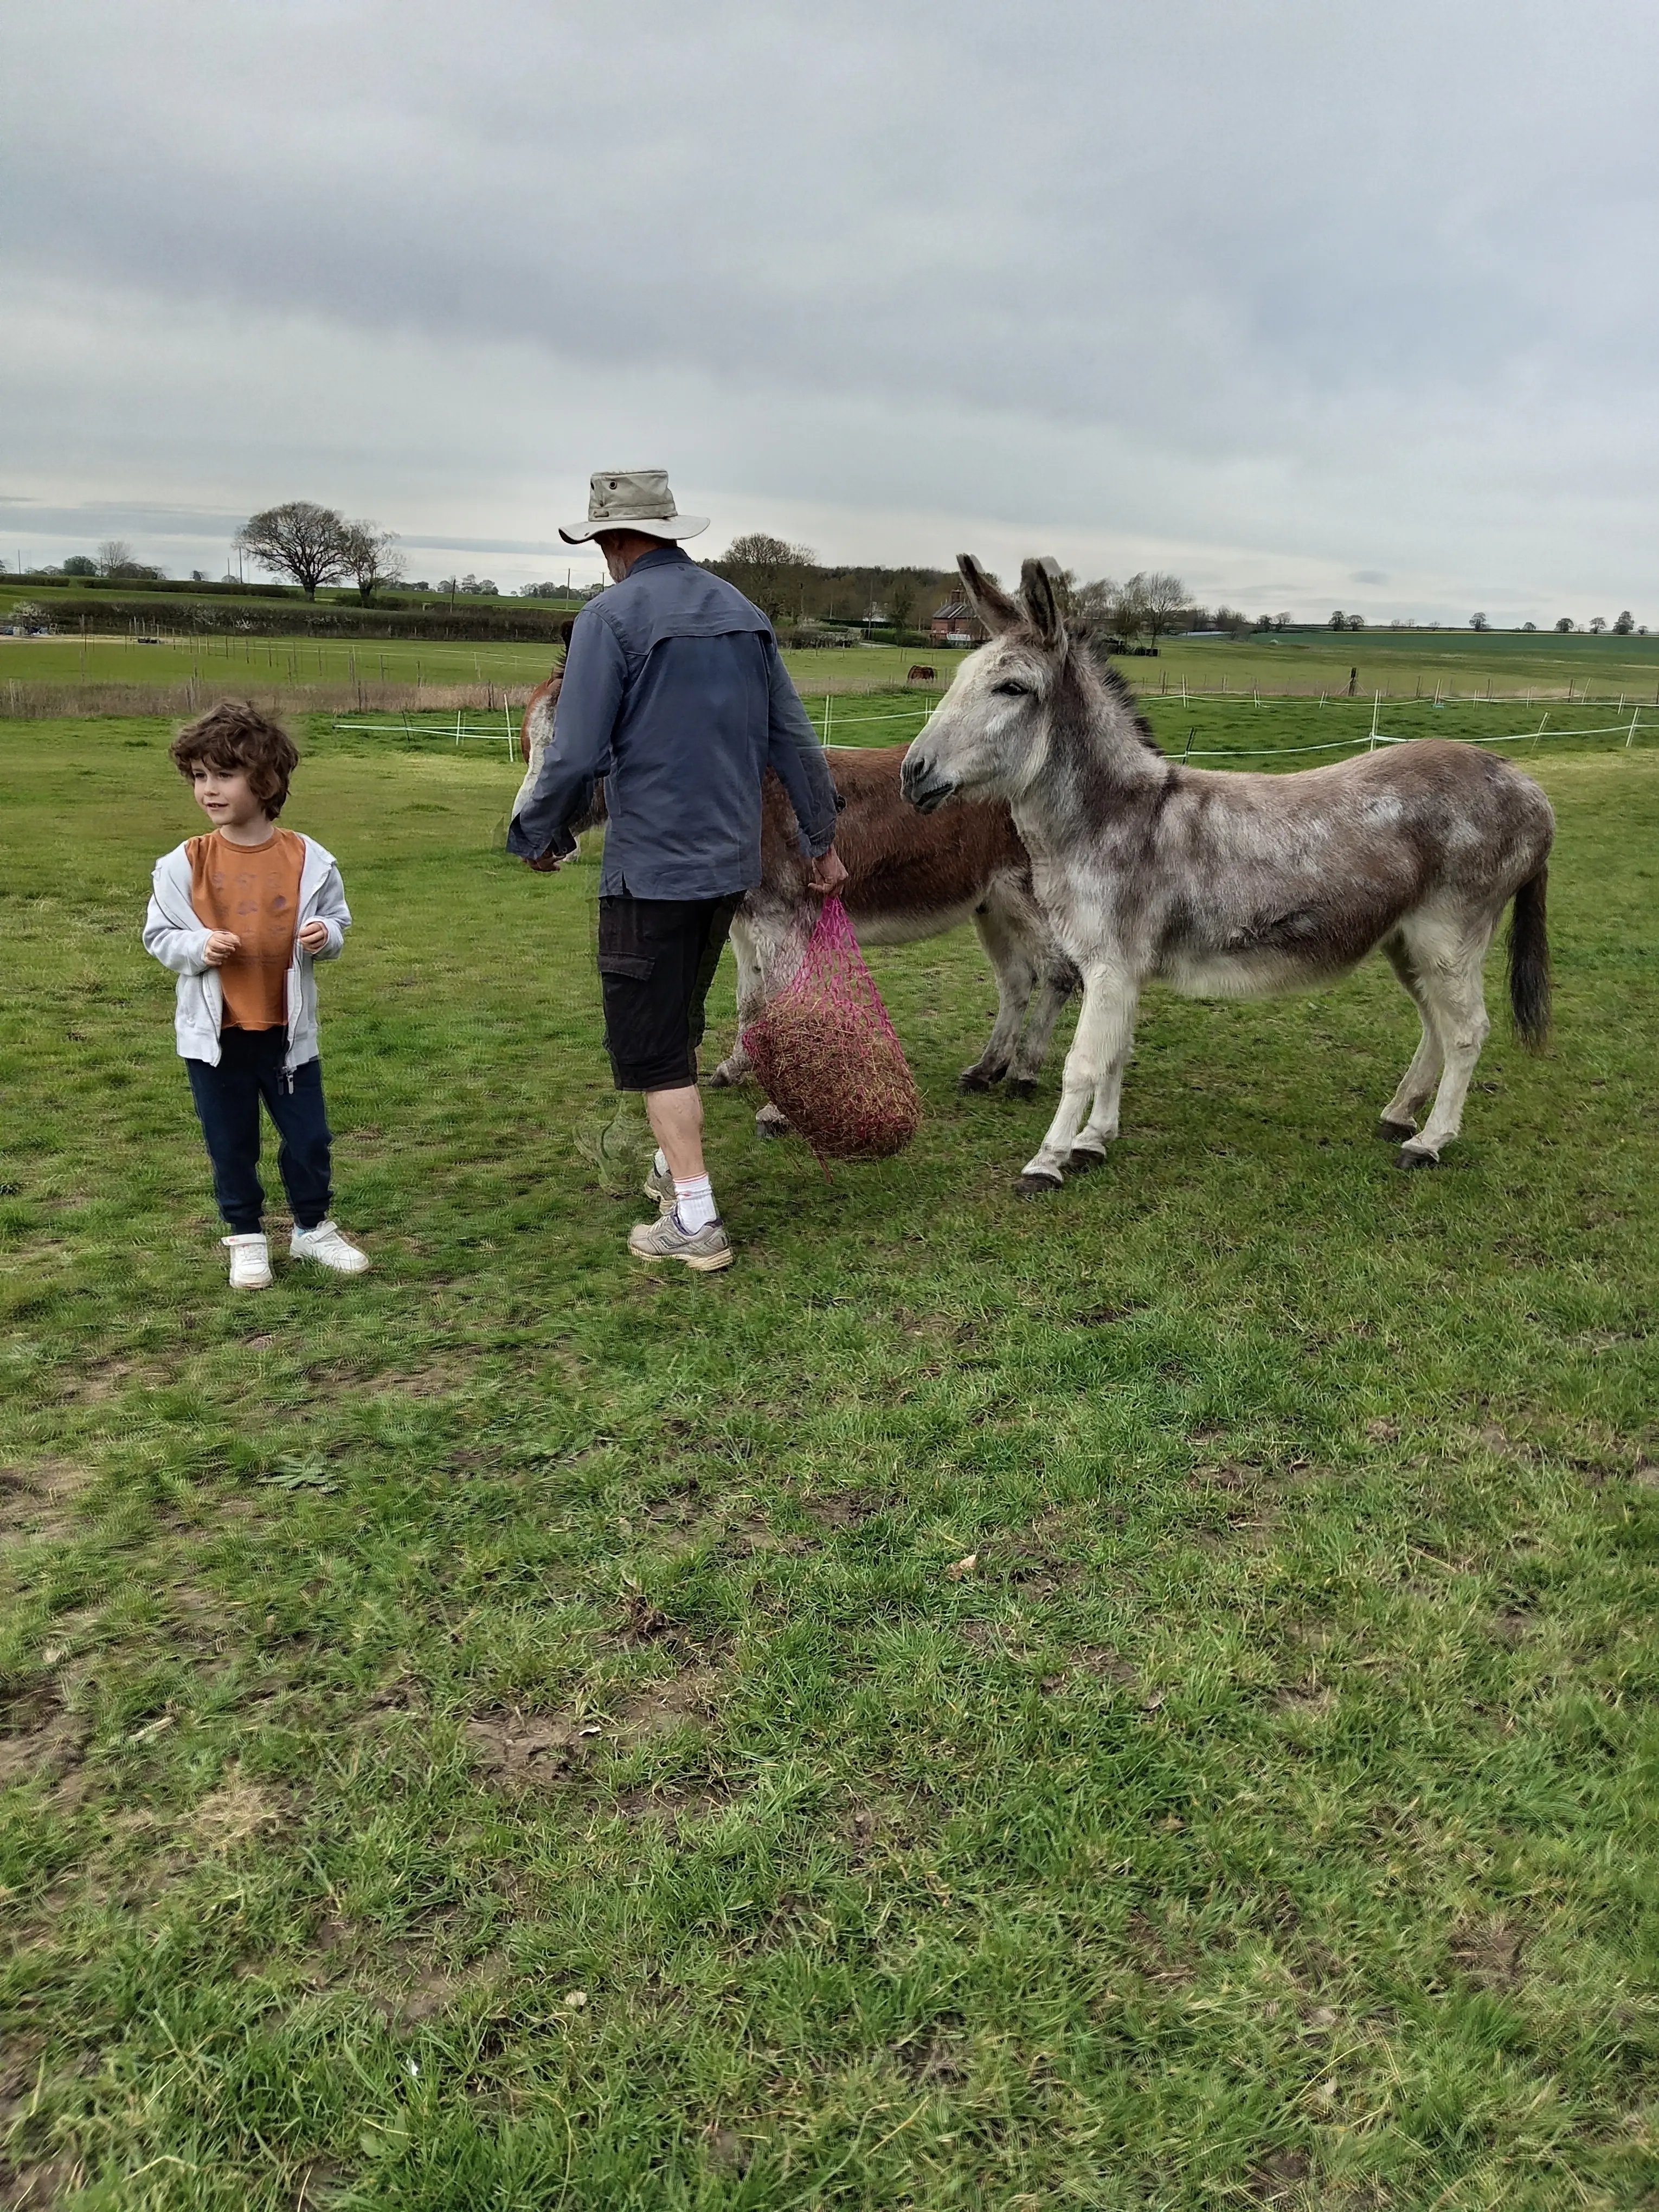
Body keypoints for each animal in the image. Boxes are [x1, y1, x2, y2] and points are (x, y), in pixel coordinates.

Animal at [900, 557, 1554, 1192]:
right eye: (959, 676)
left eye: (1012, 688)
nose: (912, 772)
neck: (1115, 814)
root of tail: (1527, 785)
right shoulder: (1125, 969)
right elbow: (1117, 1053)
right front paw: (1094, 1142)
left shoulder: (1110, 964)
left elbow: (1084, 1063)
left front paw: (1048, 1160)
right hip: (1406, 940)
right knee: (1436, 1024)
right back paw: (1400, 1116)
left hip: (1448, 935)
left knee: (1467, 1031)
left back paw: (1429, 1143)